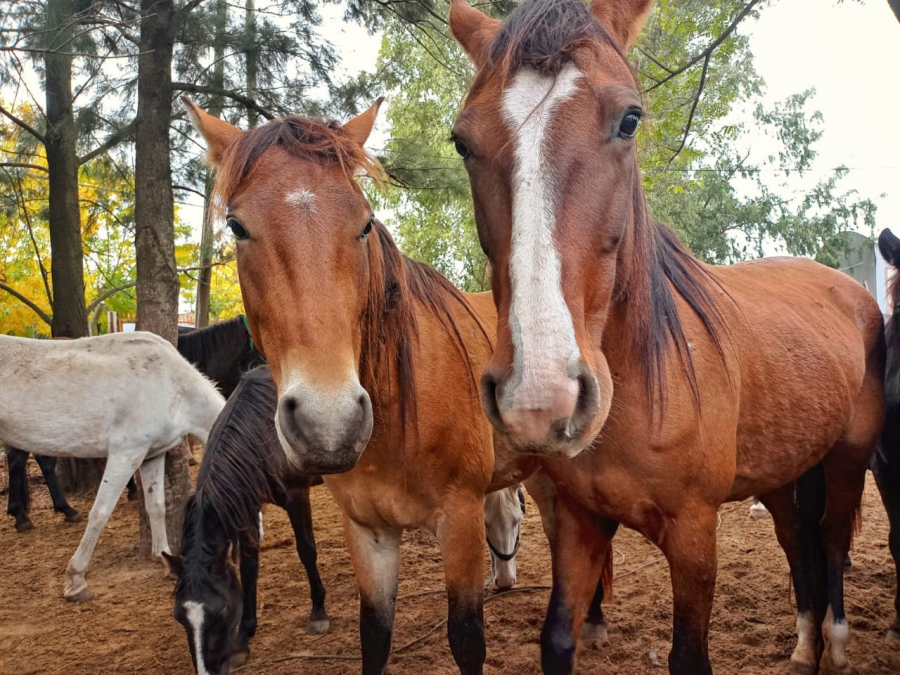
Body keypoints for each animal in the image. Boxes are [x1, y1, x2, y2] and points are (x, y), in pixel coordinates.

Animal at [0, 332, 225, 600]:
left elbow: (157, 506)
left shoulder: (152, 455)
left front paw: (164, 558)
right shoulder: (126, 453)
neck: (172, 385)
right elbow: (100, 513)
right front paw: (76, 580)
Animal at [184, 97, 537, 675]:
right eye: (236, 226)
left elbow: (466, 639)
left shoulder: (459, 521)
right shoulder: (367, 532)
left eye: (365, 222)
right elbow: (375, 635)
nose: (329, 423)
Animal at [447, 2, 885, 674]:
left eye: (630, 119)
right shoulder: (579, 523)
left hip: (848, 456)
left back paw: (834, 645)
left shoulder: (694, 533)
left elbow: (688, 655)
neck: (643, 381)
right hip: (783, 470)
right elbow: (558, 638)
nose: (539, 397)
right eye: (463, 142)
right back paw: (804, 644)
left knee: (833, 540)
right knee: (796, 541)